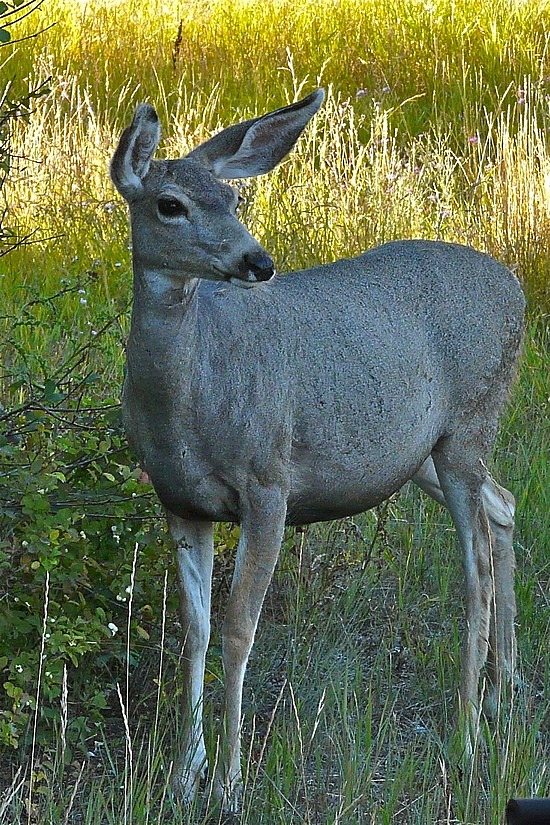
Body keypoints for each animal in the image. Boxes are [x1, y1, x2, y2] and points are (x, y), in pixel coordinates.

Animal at [111, 90, 528, 812]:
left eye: (233, 197)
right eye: (170, 204)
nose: (258, 262)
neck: (186, 404)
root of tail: (519, 288)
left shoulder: (268, 483)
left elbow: (239, 629)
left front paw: (229, 782)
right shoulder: (178, 499)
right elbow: (193, 630)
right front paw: (184, 775)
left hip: (471, 424)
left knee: (474, 558)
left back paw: (468, 732)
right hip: (427, 452)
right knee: (502, 510)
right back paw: (502, 697)